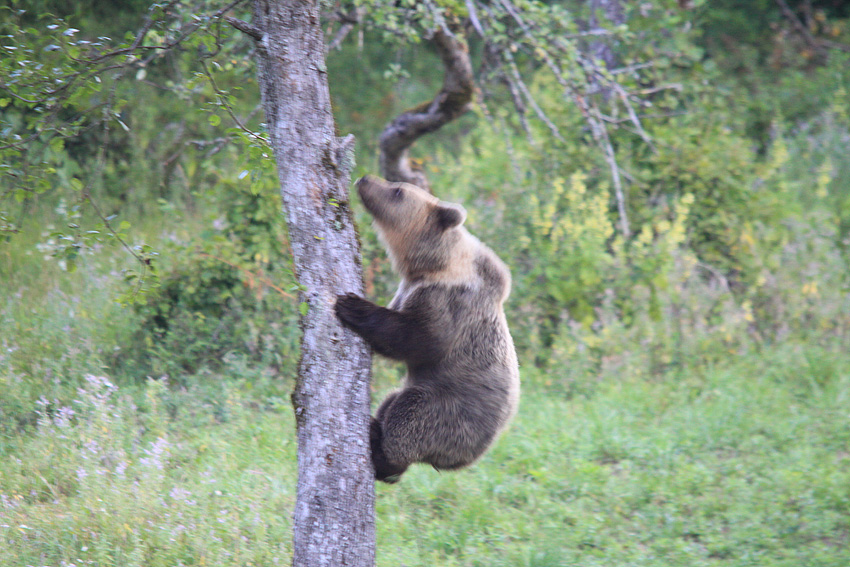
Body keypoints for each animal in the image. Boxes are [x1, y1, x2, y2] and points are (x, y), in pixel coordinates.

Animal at [332, 174, 516, 484]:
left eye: (398, 191)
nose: (365, 179)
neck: (432, 266)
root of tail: (462, 461)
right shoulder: (408, 289)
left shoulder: (449, 300)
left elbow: (420, 338)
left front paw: (352, 305)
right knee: (390, 400)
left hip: (452, 413)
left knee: (409, 413)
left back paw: (383, 454)